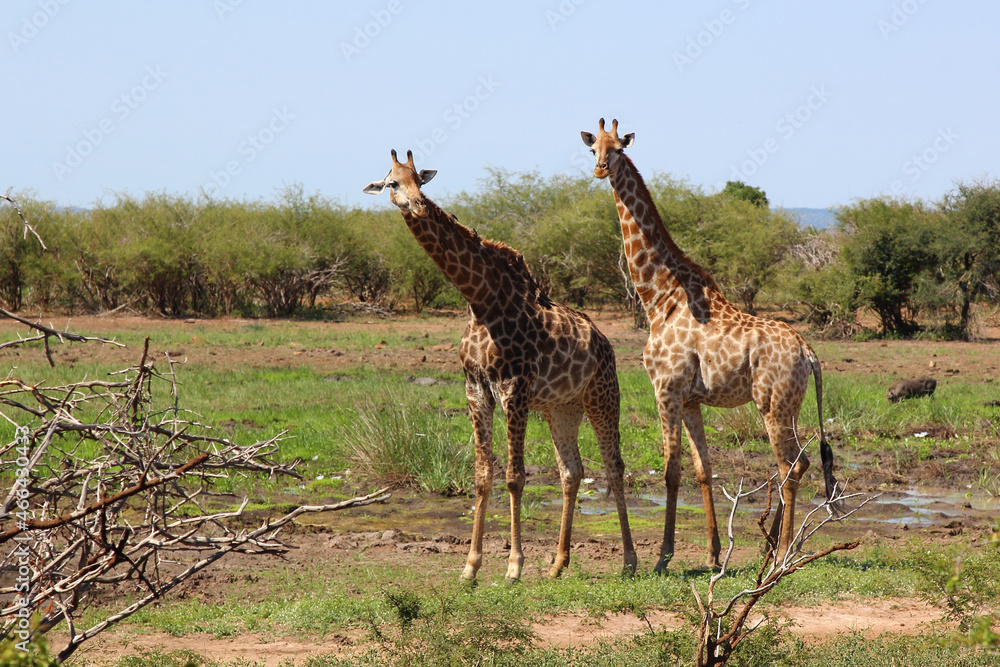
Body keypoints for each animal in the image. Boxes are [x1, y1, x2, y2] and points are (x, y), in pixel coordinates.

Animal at [364, 149, 637, 581]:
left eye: (420, 180)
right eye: (393, 183)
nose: (418, 205)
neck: (480, 302)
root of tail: (604, 341)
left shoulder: (515, 390)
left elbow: (514, 477)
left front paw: (513, 566)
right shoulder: (476, 390)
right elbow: (481, 476)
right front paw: (470, 567)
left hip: (603, 397)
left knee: (613, 466)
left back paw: (630, 561)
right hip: (563, 408)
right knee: (572, 471)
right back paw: (558, 564)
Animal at [581, 119, 839, 570]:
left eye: (618, 149)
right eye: (593, 147)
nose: (599, 169)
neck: (659, 298)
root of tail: (809, 353)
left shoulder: (666, 388)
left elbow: (671, 470)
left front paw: (663, 557)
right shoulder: (691, 399)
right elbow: (703, 469)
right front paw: (714, 554)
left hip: (772, 404)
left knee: (789, 466)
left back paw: (781, 554)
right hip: (790, 405)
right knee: (801, 462)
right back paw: (770, 547)